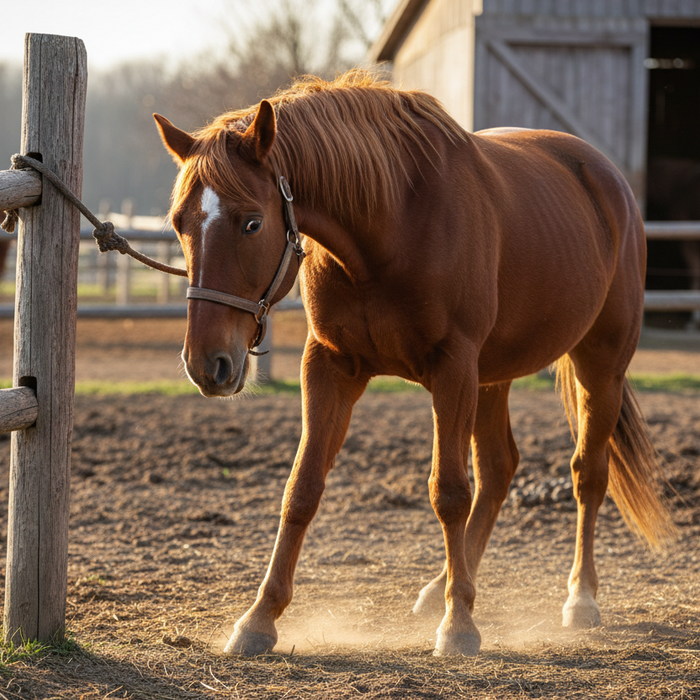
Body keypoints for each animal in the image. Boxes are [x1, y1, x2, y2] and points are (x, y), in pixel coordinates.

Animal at [153, 70, 675, 657]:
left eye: (251, 223)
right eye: (180, 223)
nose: (207, 363)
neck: (391, 223)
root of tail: (606, 178)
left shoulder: (453, 368)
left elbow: (448, 491)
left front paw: (460, 625)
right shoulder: (331, 365)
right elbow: (302, 488)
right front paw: (259, 617)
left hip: (598, 364)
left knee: (587, 473)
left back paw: (578, 598)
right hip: (492, 377)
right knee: (499, 470)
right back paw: (443, 586)